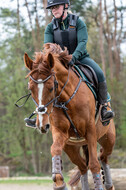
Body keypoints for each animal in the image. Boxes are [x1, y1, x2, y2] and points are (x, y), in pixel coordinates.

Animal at [23, 43, 115, 190]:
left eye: (51, 88)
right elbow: (54, 149)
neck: (66, 100)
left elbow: (94, 164)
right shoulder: (60, 132)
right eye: (30, 89)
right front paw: (59, 182)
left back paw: (108, 184)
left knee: (102, 157)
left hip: (108, 138)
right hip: (71, 147)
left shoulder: (90, 131)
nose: (42, 125)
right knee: (82, 166)